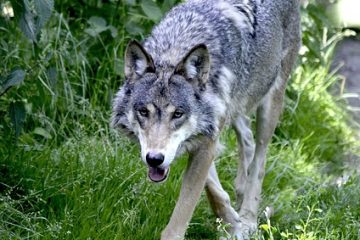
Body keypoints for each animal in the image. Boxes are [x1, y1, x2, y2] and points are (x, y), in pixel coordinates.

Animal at [112, 0, 300, 238]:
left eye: (178, 114)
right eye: (144, 112)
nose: (154, 159)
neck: (175, 49)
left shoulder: (207, 139)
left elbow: (183, 213)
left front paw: (238, 225)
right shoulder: (205, 134)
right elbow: (214, 190)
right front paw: (231, 222)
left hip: (271, 104)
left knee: (260, 161)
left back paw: (249, 217)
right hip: (236, 108)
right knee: (247, 138)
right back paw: (240, 192)